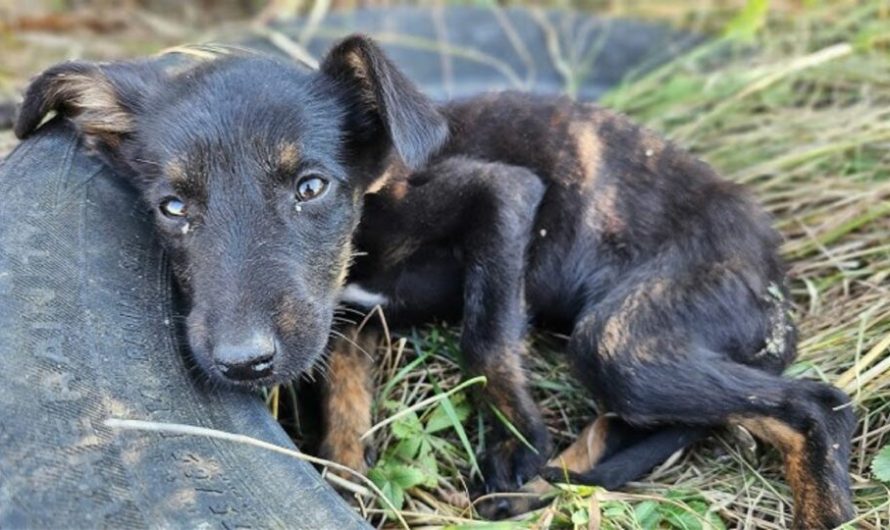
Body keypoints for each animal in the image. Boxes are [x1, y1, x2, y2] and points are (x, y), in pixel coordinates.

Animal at [15, 35, 852, 524]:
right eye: (173, 207)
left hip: (626, 337)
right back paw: (564, 478)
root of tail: (771, 254)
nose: (242, 363)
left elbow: (487, 336)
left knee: (814, 402)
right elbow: (345, 412)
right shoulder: (345, 323)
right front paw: (349, 483)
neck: (370, 213)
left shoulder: (507, 194)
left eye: (312, 187)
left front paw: (513, 442)